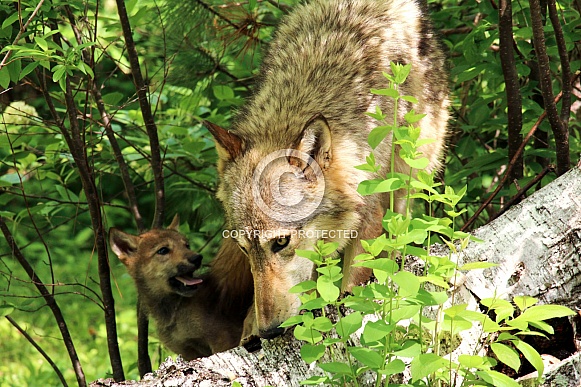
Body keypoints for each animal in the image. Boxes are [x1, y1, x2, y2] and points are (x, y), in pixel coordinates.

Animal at [204, 0, 448, 340]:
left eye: (281, 242)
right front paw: (251, 327)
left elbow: (355, 281)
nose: (269, 332)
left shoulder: (370, 214)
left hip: (409, 178)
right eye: (244, 248)